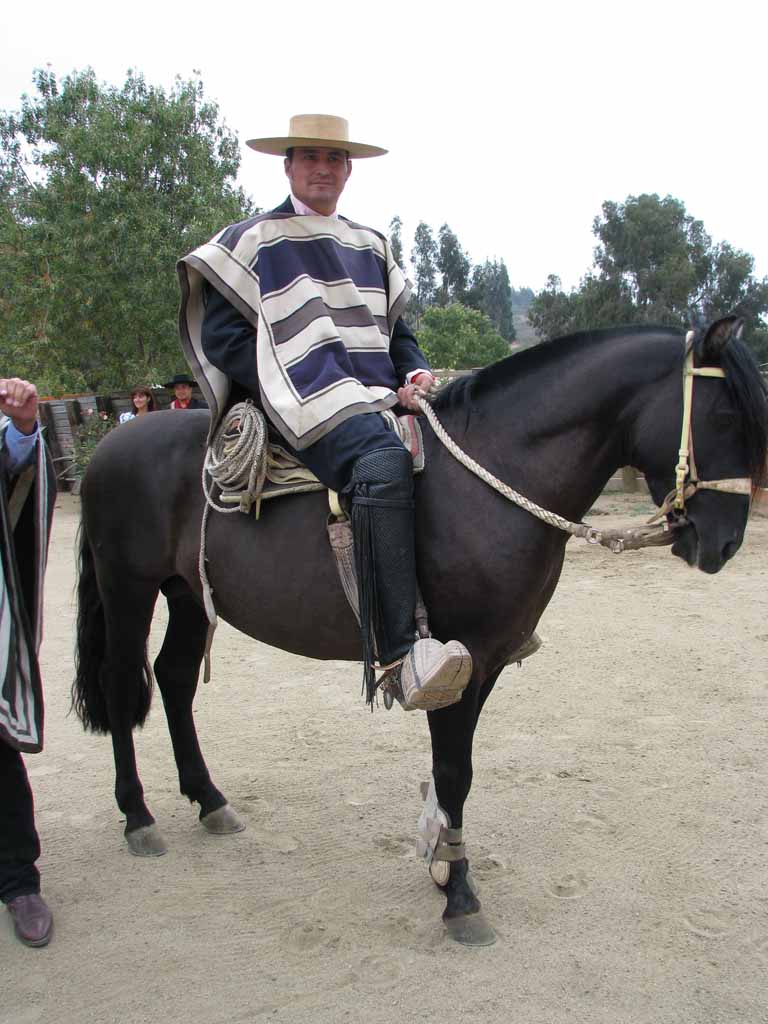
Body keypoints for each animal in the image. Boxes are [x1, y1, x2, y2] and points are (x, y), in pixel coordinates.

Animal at [73, 317, 768, 942]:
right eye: (725, 418)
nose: (725, 542)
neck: (493, 473)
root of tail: (107, 450)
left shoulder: (483, 664)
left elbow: (452, 771)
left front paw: (439, 856)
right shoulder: (457, 661)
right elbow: (455, 770)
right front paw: (459, 896)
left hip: (188, 595)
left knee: (173, 678)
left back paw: (208, 799)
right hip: (129, 590)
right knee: (120, 684)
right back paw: (137, 815)